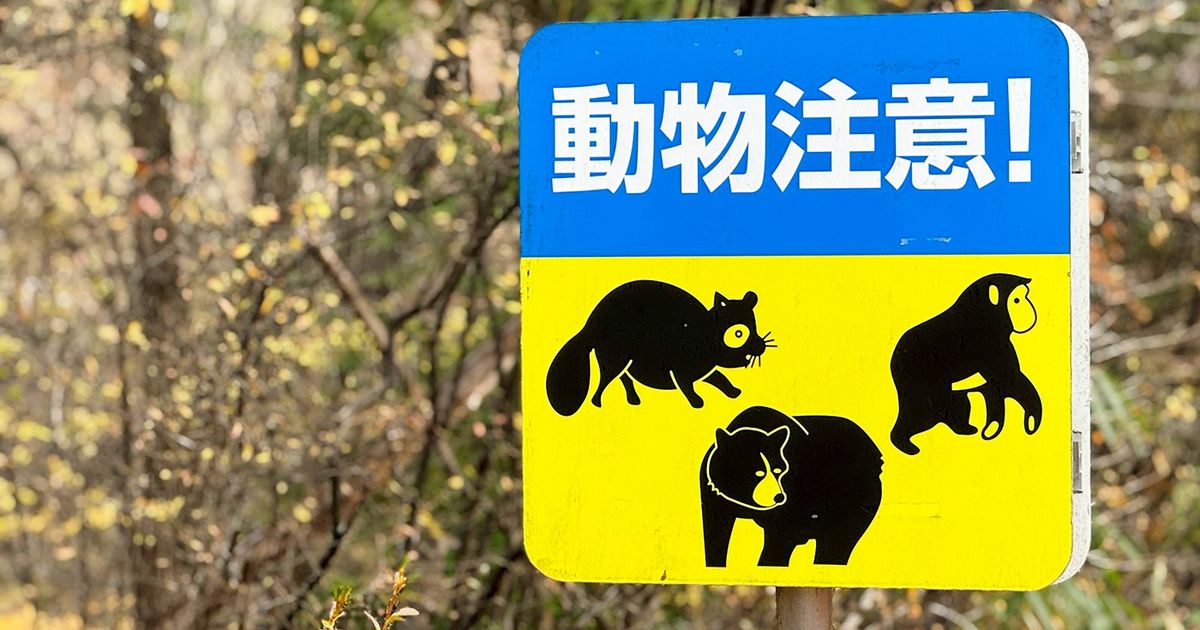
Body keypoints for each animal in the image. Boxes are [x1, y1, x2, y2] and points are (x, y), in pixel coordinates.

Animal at [546, 280, 774, 416]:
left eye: (755, 328)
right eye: (739, 333)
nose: (760, 345)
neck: (705, 336)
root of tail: (590, 325)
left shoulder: (704, 370)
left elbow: (720, 378)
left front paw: (733, 391)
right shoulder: (681, 371)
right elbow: (688, 387)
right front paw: (697, 402)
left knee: (625, 378)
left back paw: (633, 399)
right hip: (615, 358)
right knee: (604, 382)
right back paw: (598, 403)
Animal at [700, 406, 883, 567]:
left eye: (778, 469)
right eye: (757, 472)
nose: (779, 496)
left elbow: (781, 539)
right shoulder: (715, 494)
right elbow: (716, 531)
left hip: (853, 497)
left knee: (837, 541)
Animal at [889, 273, 1043, 455]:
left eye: (1025, 296)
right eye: (1017, 300)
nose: (1030, 309)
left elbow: (997, 386)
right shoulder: (989, 345)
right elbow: (1009, 378)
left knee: (955, 402)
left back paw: (963, 428)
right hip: (919, 382)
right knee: (922, 411)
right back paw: (905, 444)